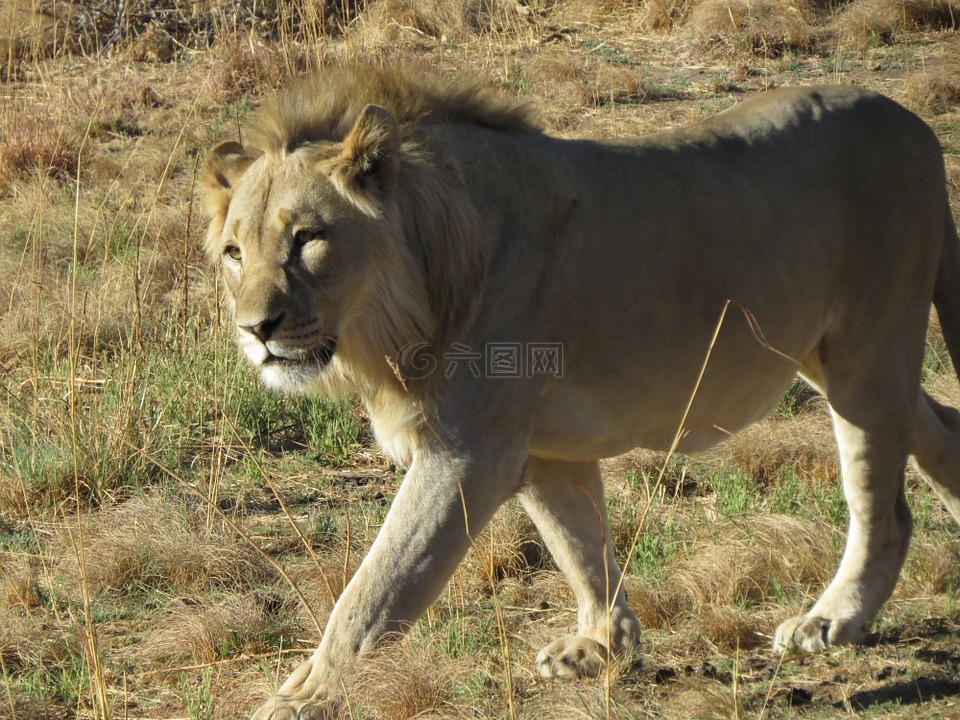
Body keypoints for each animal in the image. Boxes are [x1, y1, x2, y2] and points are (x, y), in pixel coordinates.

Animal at [199, 64, 960, 716]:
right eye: (235, 252)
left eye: (308, 238)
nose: (254, 329)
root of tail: (914, 122)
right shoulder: (541, 449)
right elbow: (579, 544)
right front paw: (602, 647)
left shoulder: (467, 452)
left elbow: (374, 591)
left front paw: (301, 700)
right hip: (832, 357)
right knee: (941, 426)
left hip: (867, 349)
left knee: (885, 508)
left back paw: (832, 619)